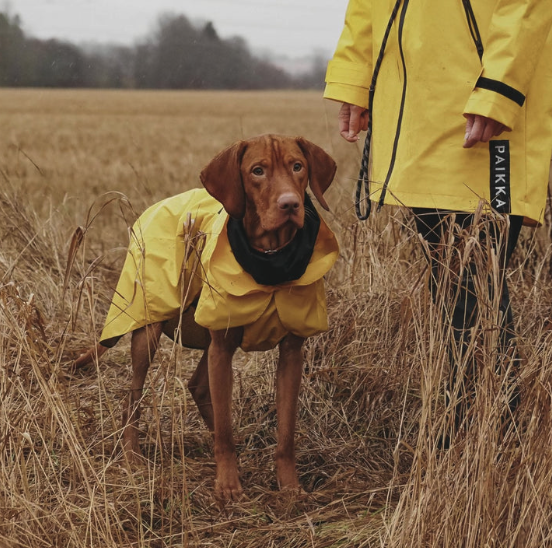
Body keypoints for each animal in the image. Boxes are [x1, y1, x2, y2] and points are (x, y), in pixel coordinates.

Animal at [75, 134, 338, 500]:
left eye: (298, 166)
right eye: (258, 171)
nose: (290, 205)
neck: (271, 260)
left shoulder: (291, 353)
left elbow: (285, 430)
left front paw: (289, 486)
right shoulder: (222, 349)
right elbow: (225, 430)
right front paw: (227, 484)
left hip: (210, 334)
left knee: (198, 386)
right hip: (151, 330)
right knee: (133, 394)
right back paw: (132, 456)